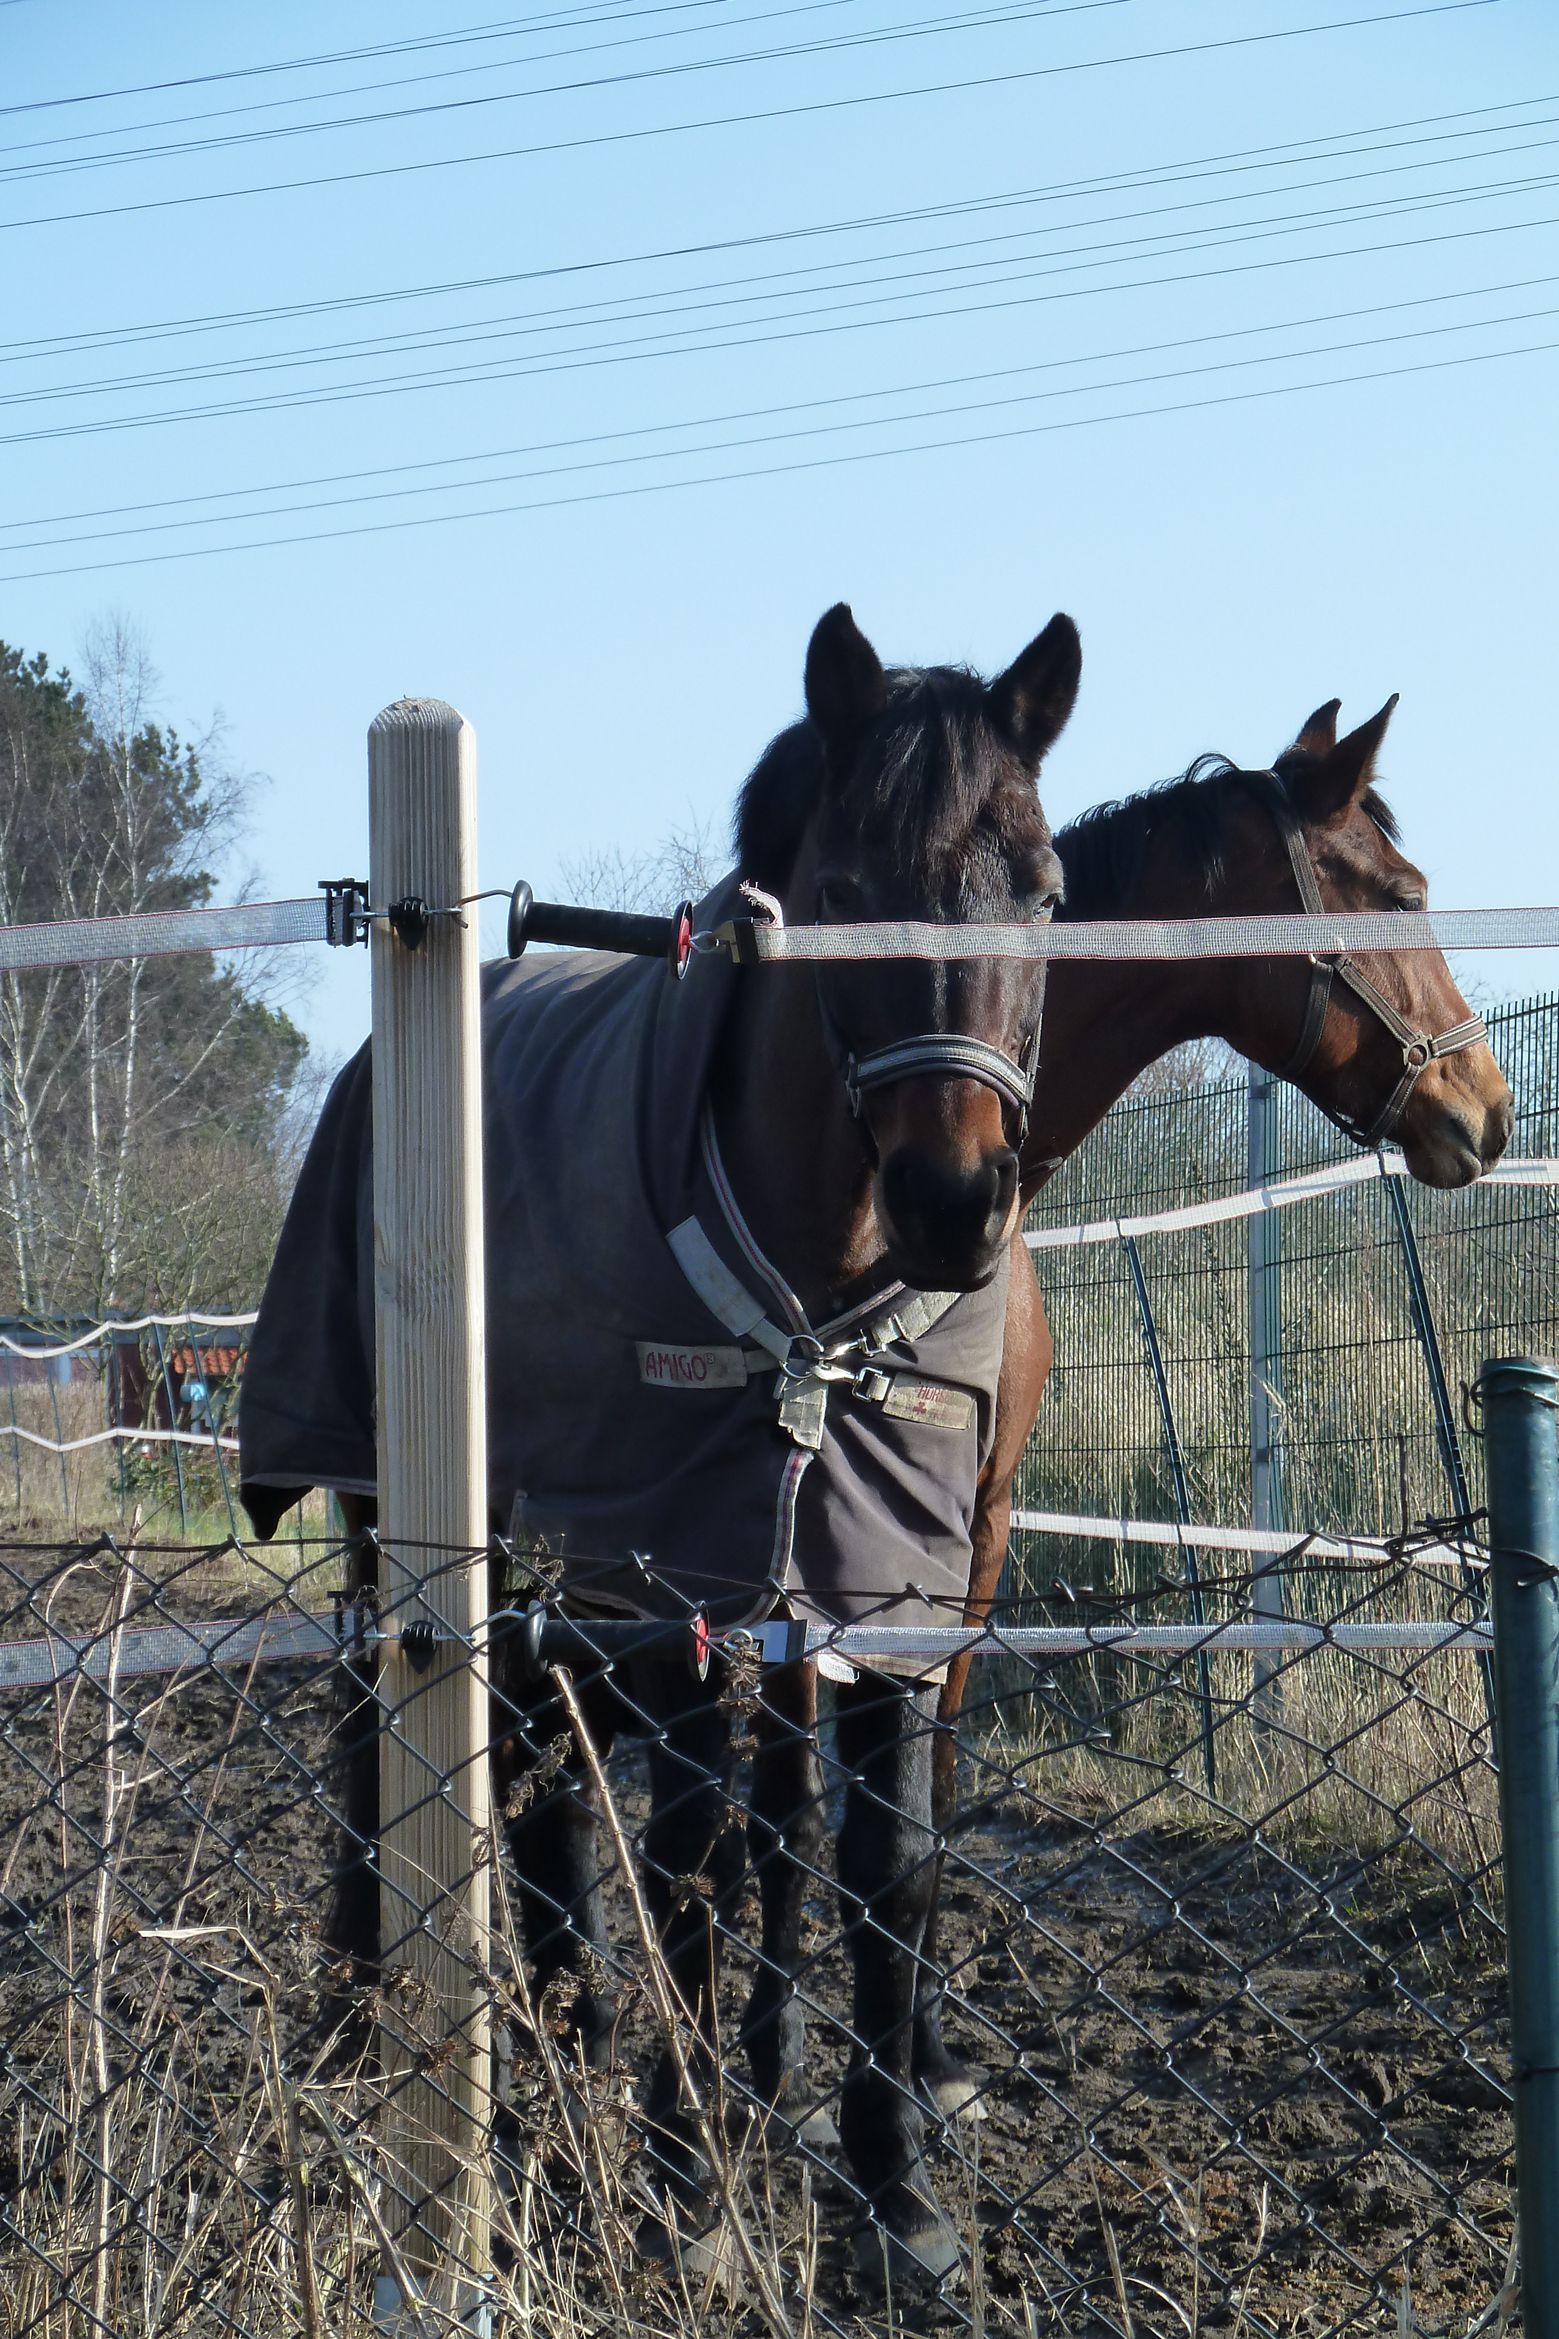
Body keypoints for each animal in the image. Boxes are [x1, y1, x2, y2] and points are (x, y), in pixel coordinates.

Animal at [237, 601, 1083, 2287]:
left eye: (1040, 890)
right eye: (842, 893)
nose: (956, 1198)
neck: (814, 1305)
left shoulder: (891, 1584)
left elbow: (885, 1863)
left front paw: (898, 2196)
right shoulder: (681, 1578)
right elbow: (696, 1855)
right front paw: (685, 2189)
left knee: (541, 1782)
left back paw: (558, 2038)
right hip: (396, 1507)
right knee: (391, 1734)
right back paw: (384, 2017)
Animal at [731, 690, 1515, 2141]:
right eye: (1396, 892)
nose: (1483, 1107)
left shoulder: (972, 1534)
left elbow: (929, 1799)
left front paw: (921, 2057)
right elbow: (788, 1809)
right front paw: (774, 2060)